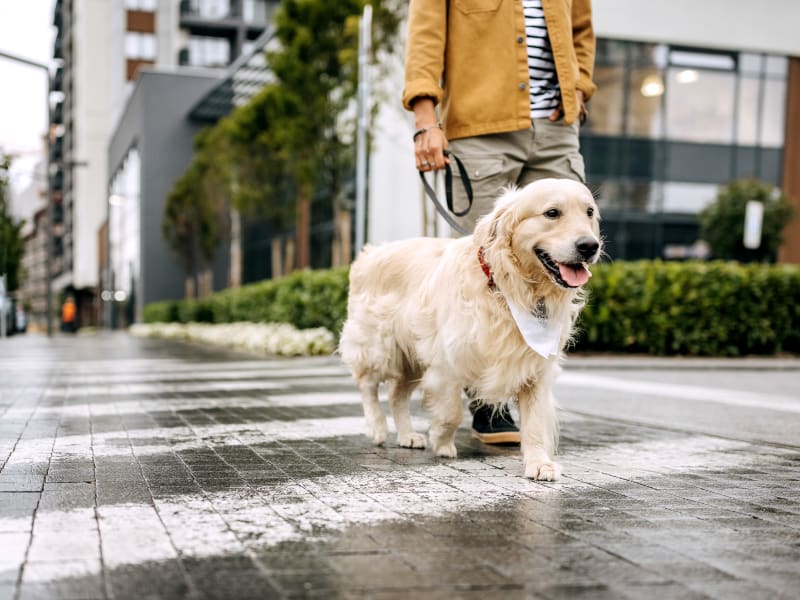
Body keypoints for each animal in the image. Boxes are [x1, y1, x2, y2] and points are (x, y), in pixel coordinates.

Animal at [338, 177, 600, 478]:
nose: (590, 246)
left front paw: (539, 463)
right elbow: (452, 410)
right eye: (552, 213)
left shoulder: (534, 366)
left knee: (396, 395)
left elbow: (535, 422)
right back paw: (378, 426)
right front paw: (441, 440)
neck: (507, 288)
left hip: (411, 356)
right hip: (378, 346)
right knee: (367, 385)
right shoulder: (448, 359)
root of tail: (370, 252)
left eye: (590, 212)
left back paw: (407, 435)